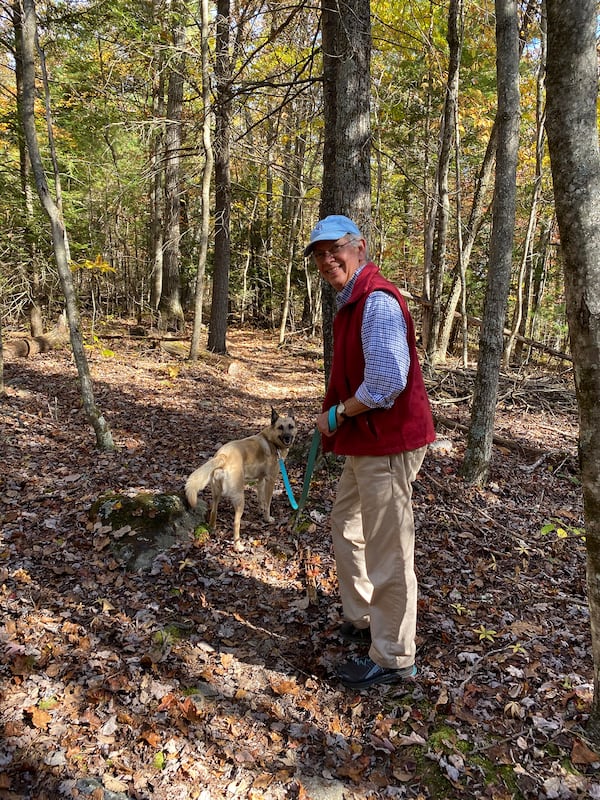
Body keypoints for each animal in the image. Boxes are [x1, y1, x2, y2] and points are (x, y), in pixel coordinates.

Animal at [183, 406, 296, 552]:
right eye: (280, 427)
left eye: (291, 426)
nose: (288, 438)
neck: (271, 441)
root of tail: (222, 456)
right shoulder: (270, 480)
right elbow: (268, 502)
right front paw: (267, 518)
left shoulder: (260, 480)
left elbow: (261, 499)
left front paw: (260, 510)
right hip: (240, 498)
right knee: (236, 523)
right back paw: (238, 545)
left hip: (216, 494)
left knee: (214, 510)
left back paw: (212, 528)